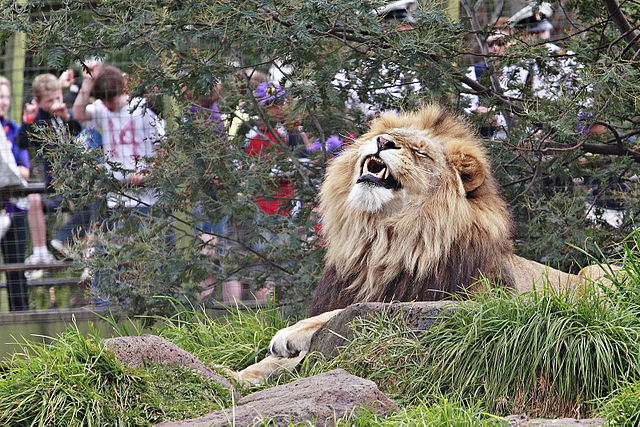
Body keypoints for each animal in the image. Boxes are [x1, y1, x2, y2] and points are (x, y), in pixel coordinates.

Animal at [233, 105, 615, 384]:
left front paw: (289, 334)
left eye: (420, 153)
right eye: (383, 136)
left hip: (598, 272)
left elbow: (343, 314)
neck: (382, 241)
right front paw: (236, 376)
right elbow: (270, 365)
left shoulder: (469, 302)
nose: (382, 142)